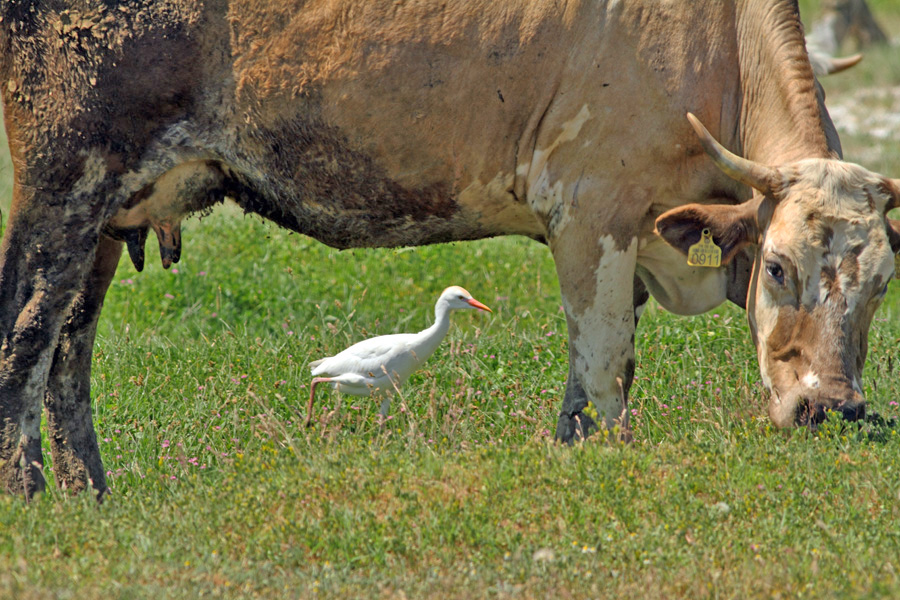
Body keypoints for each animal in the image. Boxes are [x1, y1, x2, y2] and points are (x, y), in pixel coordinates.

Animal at [1, 0, 900, 500]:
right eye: (777, 267)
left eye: (882, 286)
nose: (830, 407)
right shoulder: (592, 209)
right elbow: (605, 365)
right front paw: (612, 463)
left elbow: (590, 371)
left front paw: (567, 452)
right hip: (64, 177)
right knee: (29, 328)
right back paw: (31, 491)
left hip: (112, 214)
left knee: (72, 348)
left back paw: (92, 490)